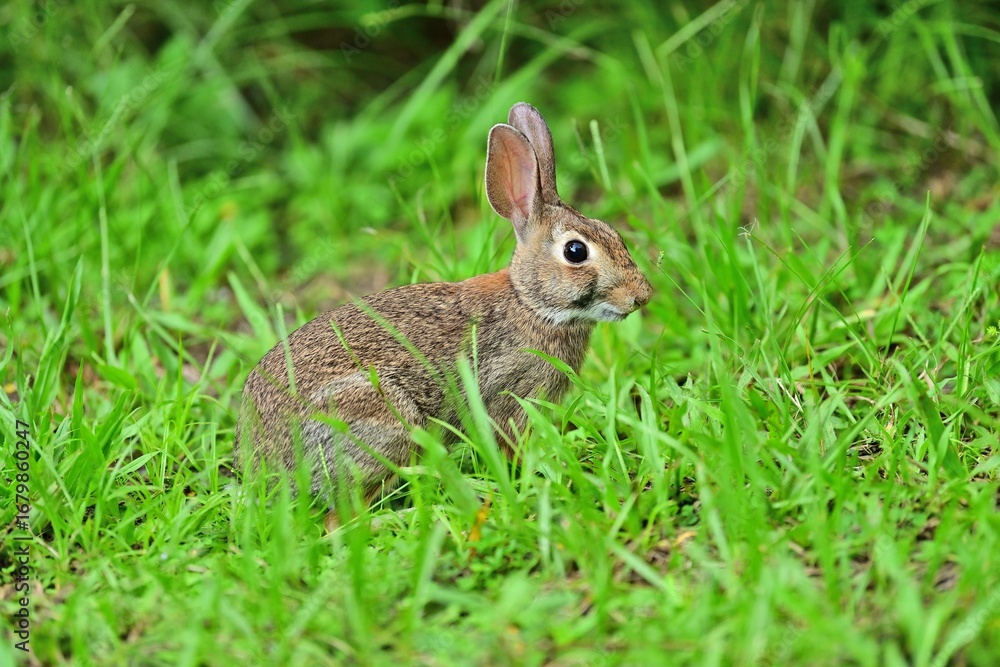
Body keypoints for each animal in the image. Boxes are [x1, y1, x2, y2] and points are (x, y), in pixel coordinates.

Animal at [236, 102, 652, 506]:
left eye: (612, 233)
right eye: (576, 251)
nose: (642, 295)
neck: (531, 303)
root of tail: (261, 464)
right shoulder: (511, 396)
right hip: (382, 422)